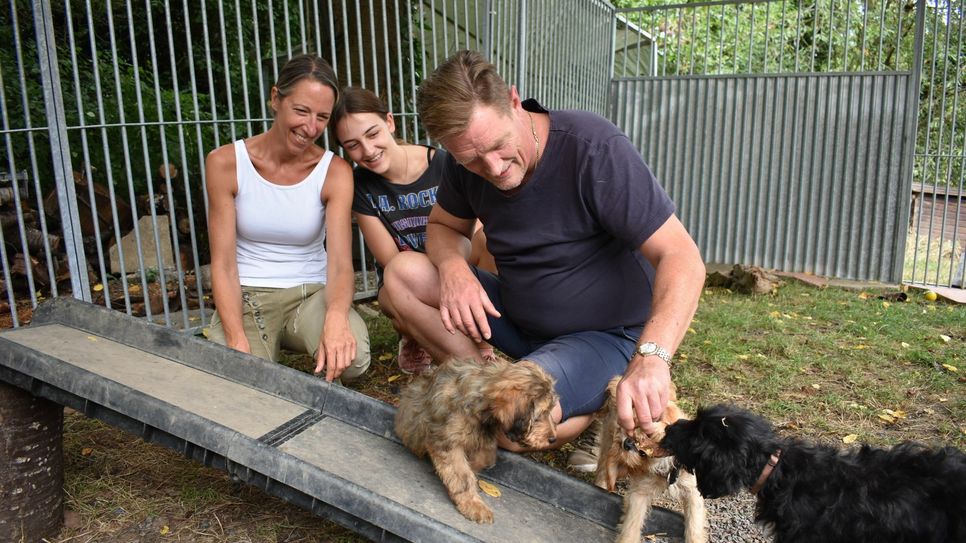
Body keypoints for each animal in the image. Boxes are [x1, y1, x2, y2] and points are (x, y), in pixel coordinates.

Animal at [396, 356, 560, 524]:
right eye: (540, 414)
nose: (553, 438)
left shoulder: (484, 439)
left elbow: (482, 459)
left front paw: (474, 469)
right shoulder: (448, 442)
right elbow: (462, 475)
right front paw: (473, 504)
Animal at [592, 378, 708, 543]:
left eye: (640, 427)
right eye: (620, 441)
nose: (627, 443)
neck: (665, 467)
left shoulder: (693, 493)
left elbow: (694, 527)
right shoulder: (638, 495)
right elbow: (631, 527)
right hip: (606, 441)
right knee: (602, 469)